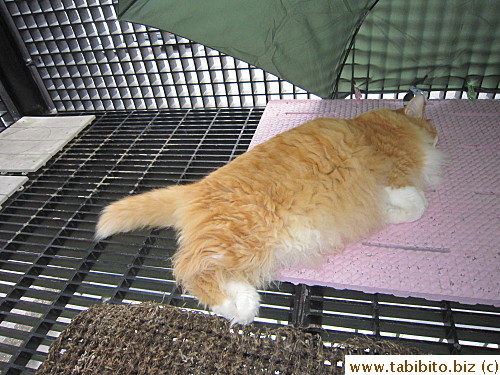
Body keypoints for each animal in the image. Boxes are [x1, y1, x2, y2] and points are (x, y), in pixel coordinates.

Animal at [95, 95, 444, 324]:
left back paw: (247, 299)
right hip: (241, 236)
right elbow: (417, 204)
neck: (383, 125)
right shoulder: (394, 175)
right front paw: (390, 212)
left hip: (246, 248)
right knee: (189, 271)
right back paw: (238, 310)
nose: (438, 136)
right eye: (430, 124)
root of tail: (195, 188)